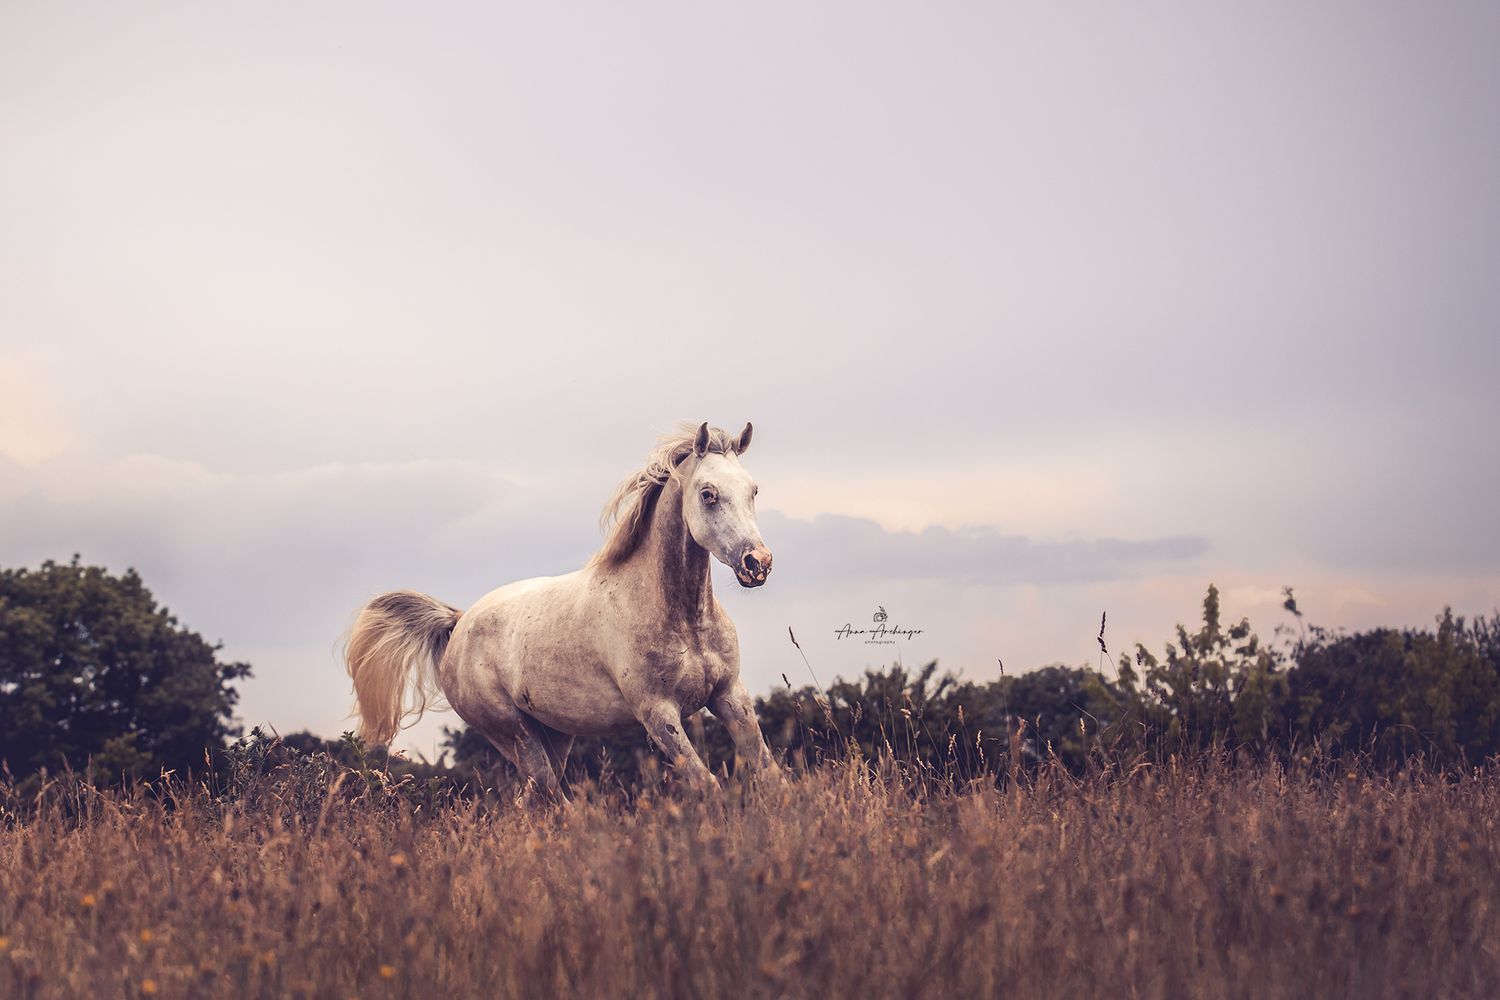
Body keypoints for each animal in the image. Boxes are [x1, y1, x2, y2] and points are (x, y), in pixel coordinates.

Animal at [343, 420, 779, 795]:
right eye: (708, 494)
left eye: (753, 490)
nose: (757, 563)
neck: (683, 620)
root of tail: (460, 622)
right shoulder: (658, 714)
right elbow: (709, 784)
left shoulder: (730, 696)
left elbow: (770, 773)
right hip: (515, 735)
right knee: (550, 795)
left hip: (556, 735)